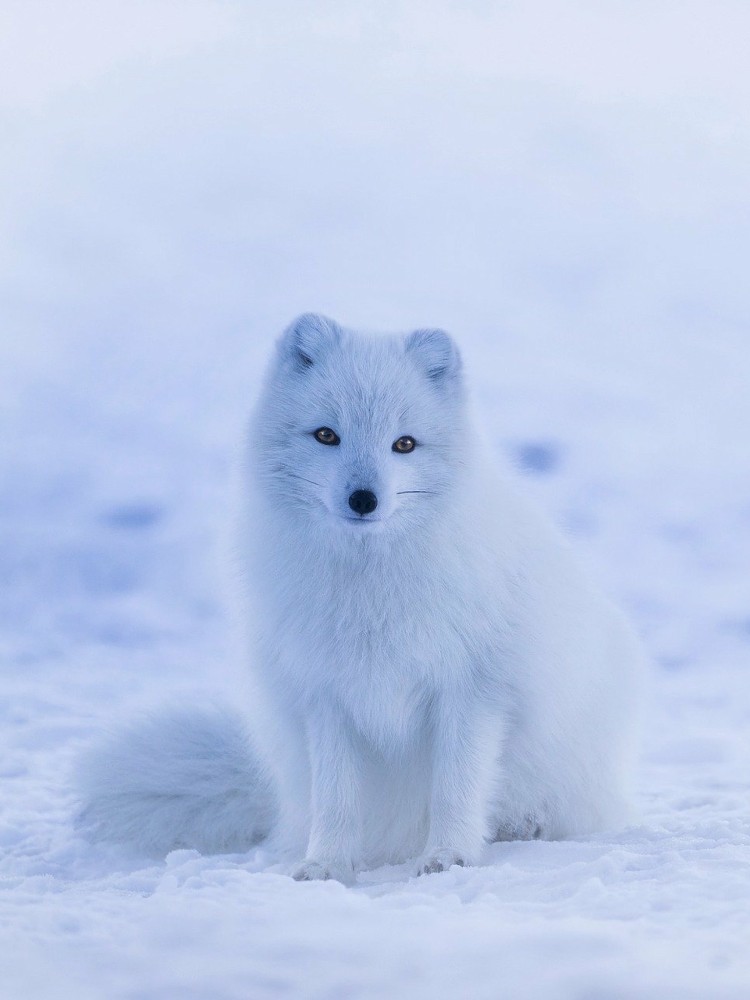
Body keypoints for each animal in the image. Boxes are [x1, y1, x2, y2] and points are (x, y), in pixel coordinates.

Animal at [78, 314, 648, 884]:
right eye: (326, 434)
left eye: (405, 444)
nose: (363, 499)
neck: (369, 588)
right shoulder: (326, 694)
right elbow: (336, 798)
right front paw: (326, 864)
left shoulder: (472, 690)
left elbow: (456, 787)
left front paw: (449, 856)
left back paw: (522, 826)